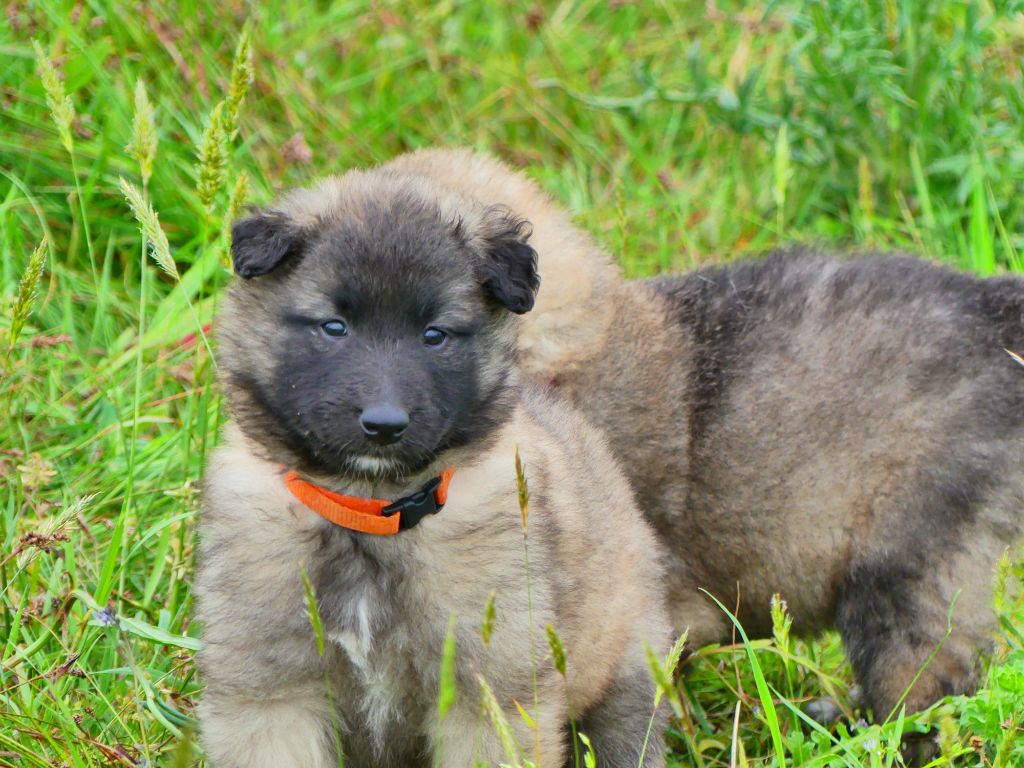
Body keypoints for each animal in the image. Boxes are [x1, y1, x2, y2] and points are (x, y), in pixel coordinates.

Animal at [195, 169, 671, 768]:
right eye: (334, 327)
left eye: (434, 335)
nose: (384, 424)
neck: (367, 511)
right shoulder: (267, 693)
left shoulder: (487, 695)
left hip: (624, 663)